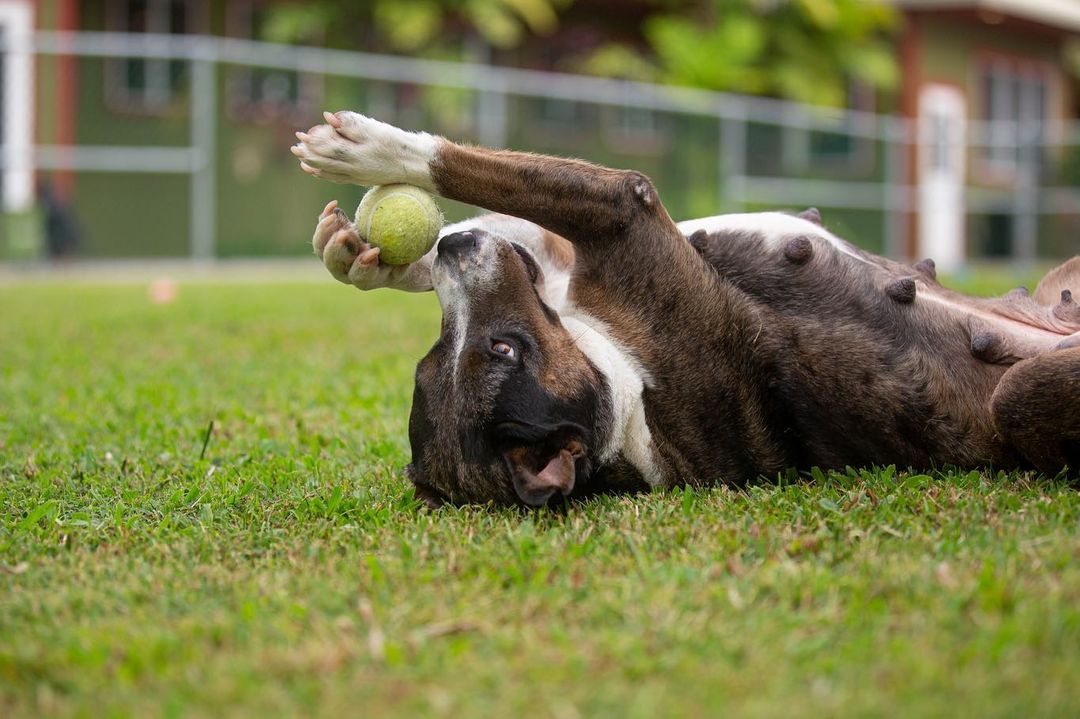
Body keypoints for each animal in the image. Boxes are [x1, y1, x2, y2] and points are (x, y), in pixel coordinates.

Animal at [293, 110, 1080, 503]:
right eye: (502, 348)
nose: (457, 247)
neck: (625, 392)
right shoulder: (620, 211)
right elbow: (487, 173)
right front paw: (377, 154)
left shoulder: (559, 253)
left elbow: (511, 215)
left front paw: (362, 253)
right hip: (1022, 394)